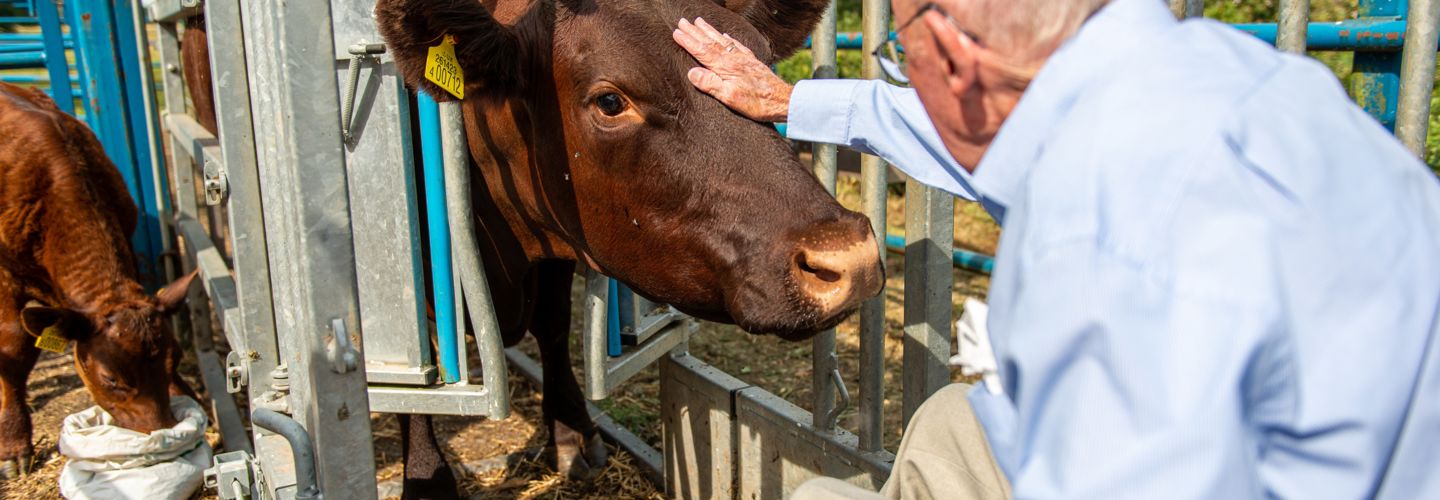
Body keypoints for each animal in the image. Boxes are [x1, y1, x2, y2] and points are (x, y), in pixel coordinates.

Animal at [0, 80, 203, 481]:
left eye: (174, 359)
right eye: (110, 379)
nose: (159, 429)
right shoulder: (4, 273)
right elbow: (14, 346)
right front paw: (14, 445)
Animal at [374, 0, 875, 498]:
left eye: (762, 62)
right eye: (610, 101)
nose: (850, 255)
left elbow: (552, 324)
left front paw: (572, 431)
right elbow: (412, 380)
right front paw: (427, 479)